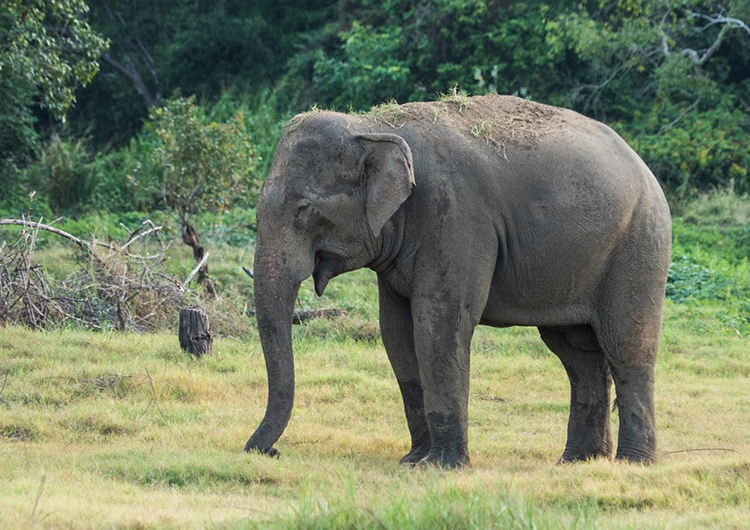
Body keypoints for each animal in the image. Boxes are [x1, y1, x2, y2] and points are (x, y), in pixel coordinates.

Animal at [247, 95, 676, 466]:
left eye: (303, 209)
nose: (269, 451)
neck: (374, 125)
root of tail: (644, 167)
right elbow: (396, 331)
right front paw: (413, 460)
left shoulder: (455, 217)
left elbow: (439, 321)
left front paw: (441, 466)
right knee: (576, 353)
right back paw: (576, 462)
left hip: (639, 244)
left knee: (626, 346)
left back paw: (632, 463)